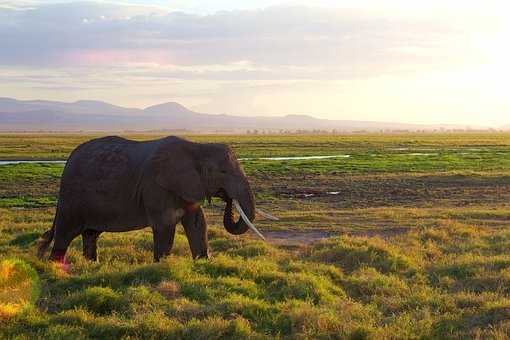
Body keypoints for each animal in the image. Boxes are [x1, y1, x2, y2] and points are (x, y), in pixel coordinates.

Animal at [36, 135, 266, 262]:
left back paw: (93, 265)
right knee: (65, 234)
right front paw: (161, 265)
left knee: (91, 234)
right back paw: (55, 267)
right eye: (223, 172)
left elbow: (197, 223)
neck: (197, 146)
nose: (228, 199)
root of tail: (68, 162)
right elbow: (165, 225)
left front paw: (203, 264)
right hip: (72, 197)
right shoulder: (156, 186)